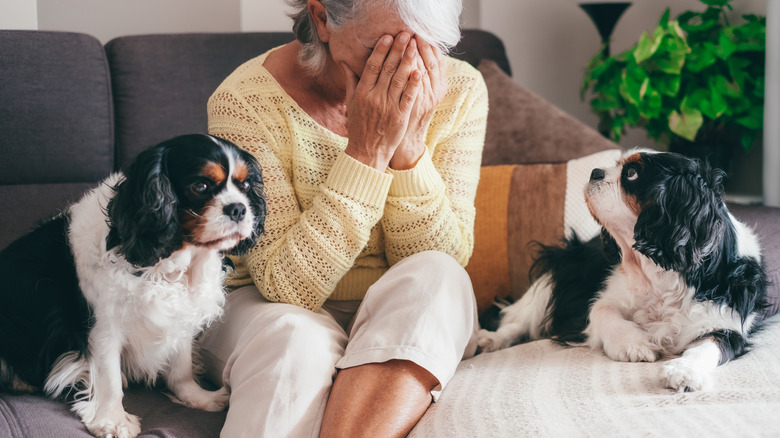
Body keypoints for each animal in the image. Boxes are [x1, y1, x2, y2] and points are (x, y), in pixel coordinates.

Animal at [0, 134, 266, 438]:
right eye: (200, 186)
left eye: (245, 186)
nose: (239, 208)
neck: (171, 263)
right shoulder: (103, 327)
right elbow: (109, 378)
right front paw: (112, 420)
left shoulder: (180, 315)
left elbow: (181, 366)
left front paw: (197, 397)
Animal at [478, 151, 764, 394]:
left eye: (632, 173)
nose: (594, 172)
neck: (658, 273)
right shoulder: (602, 299)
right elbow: (603, 311)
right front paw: (634, 344)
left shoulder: (728, 323)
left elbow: (708, 346)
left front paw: (684, 370)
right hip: (560, 270)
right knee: (518, 320)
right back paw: (489, 340)